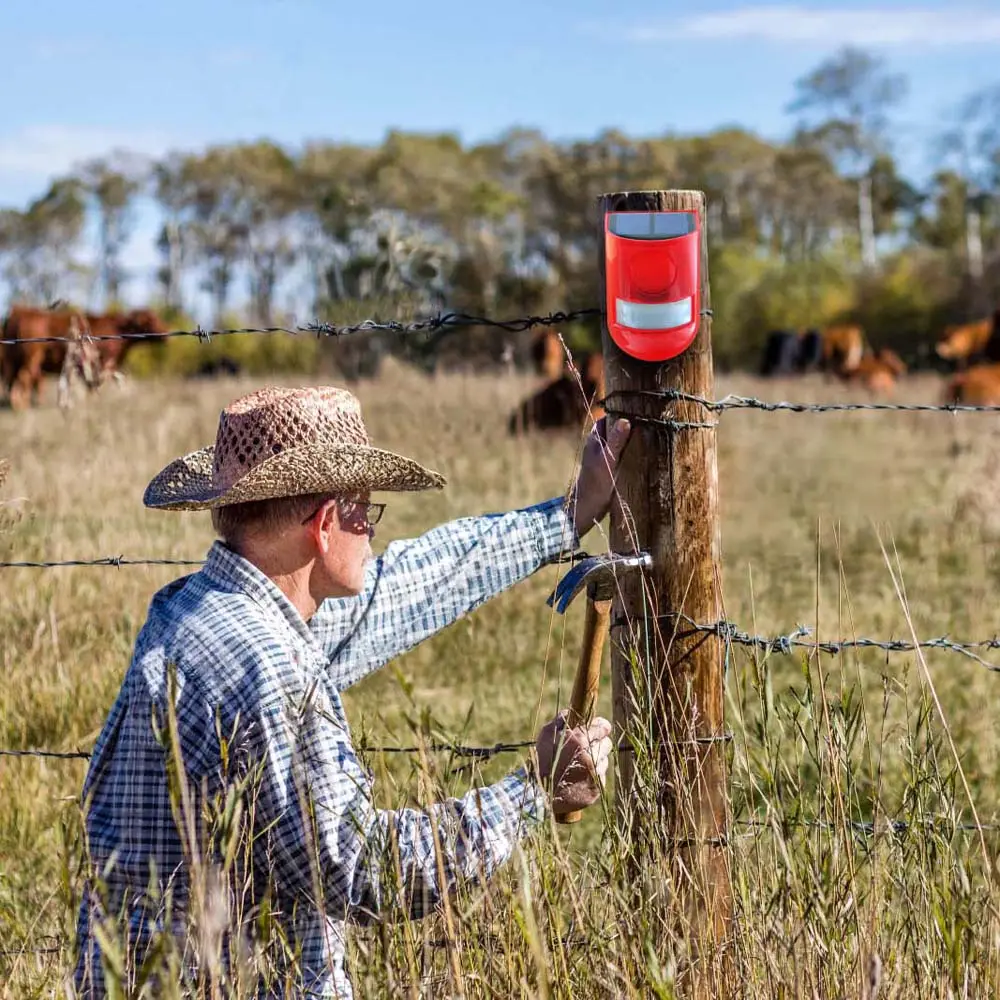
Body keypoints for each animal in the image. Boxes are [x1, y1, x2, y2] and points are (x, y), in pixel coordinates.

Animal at [2, 308, 166, 410]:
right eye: (150, 320)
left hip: (15, 361)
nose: (164, 333)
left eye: (158, 318)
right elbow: (92, 386)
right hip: (31, 359)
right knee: (25, 378)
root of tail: (21, 310)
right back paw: (22, 406)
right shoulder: (101, 363)